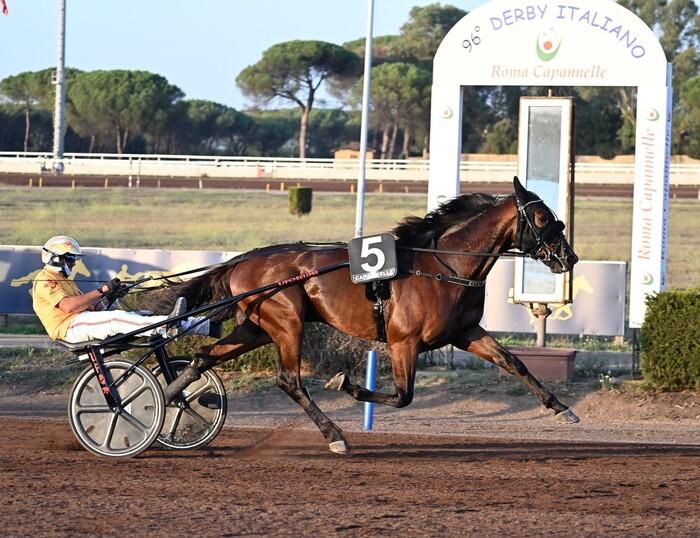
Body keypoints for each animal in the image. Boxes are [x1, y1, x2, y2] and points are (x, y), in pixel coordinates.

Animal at [160, 176, 580, 452]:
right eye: (542, 218)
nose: (569, 257)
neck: (443, 265)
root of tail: (243, 260)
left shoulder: (465, 333)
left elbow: (515, 363)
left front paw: (562, 409)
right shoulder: (403, 341)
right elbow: (403, 396)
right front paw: (345, 384)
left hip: (258, 327)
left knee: (203, 356)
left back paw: (170, 397)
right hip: (287, 323)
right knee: (289, 380)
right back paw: (335, 437)